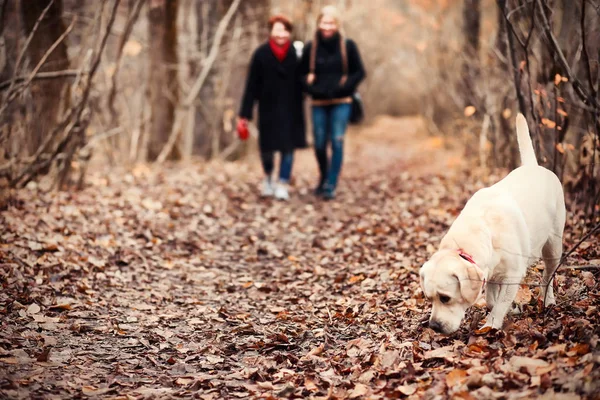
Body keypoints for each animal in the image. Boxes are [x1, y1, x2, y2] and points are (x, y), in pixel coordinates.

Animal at [420, 113, 564, 334]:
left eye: (445, 298)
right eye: (429, 298)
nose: (434, 326)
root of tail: (533, 166)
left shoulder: (513, 274)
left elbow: (500, 304)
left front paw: (491, 324)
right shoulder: (490, 274)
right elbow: (490, 300)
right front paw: (510, 310)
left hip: (554, 246)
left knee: (548, 276)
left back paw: (547, 300)